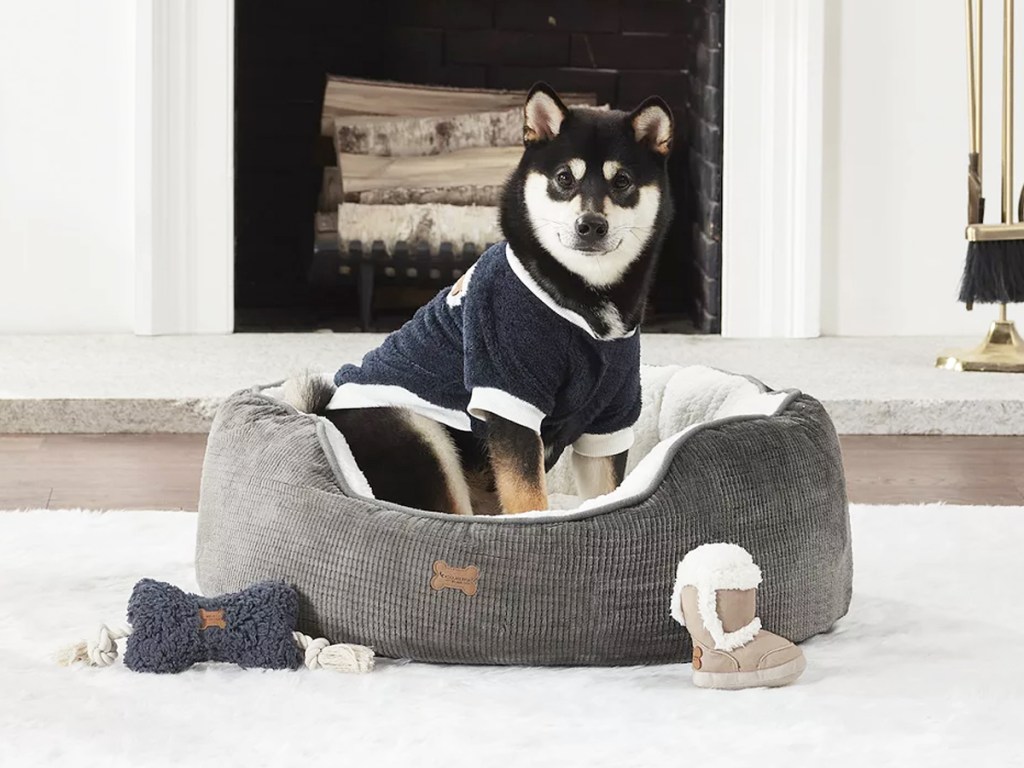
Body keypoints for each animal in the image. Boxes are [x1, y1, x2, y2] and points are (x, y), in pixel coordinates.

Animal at [284, 83, 675, 518]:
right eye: (563, 178)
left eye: (622, 180)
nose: (590, 225)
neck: (582, 295)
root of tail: (325, 417)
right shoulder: (508, 396)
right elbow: (530, 502)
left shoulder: (609, 419)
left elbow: (607, 495)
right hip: (420, 433)